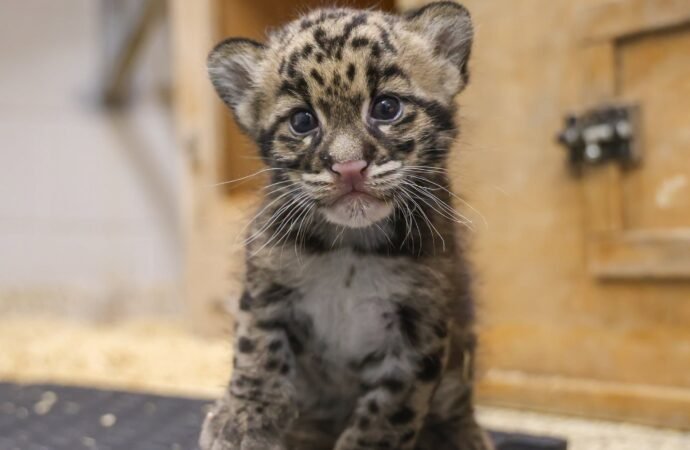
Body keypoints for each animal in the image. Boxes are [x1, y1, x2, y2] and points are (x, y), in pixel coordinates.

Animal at [200, 2, 493, 449]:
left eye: (387, 107)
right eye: (302, 120)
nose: (349, 166)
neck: (352, 246)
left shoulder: (420, 324)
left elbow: (392, 408)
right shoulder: (267, 282)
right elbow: (257, 347)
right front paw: (242, 418)